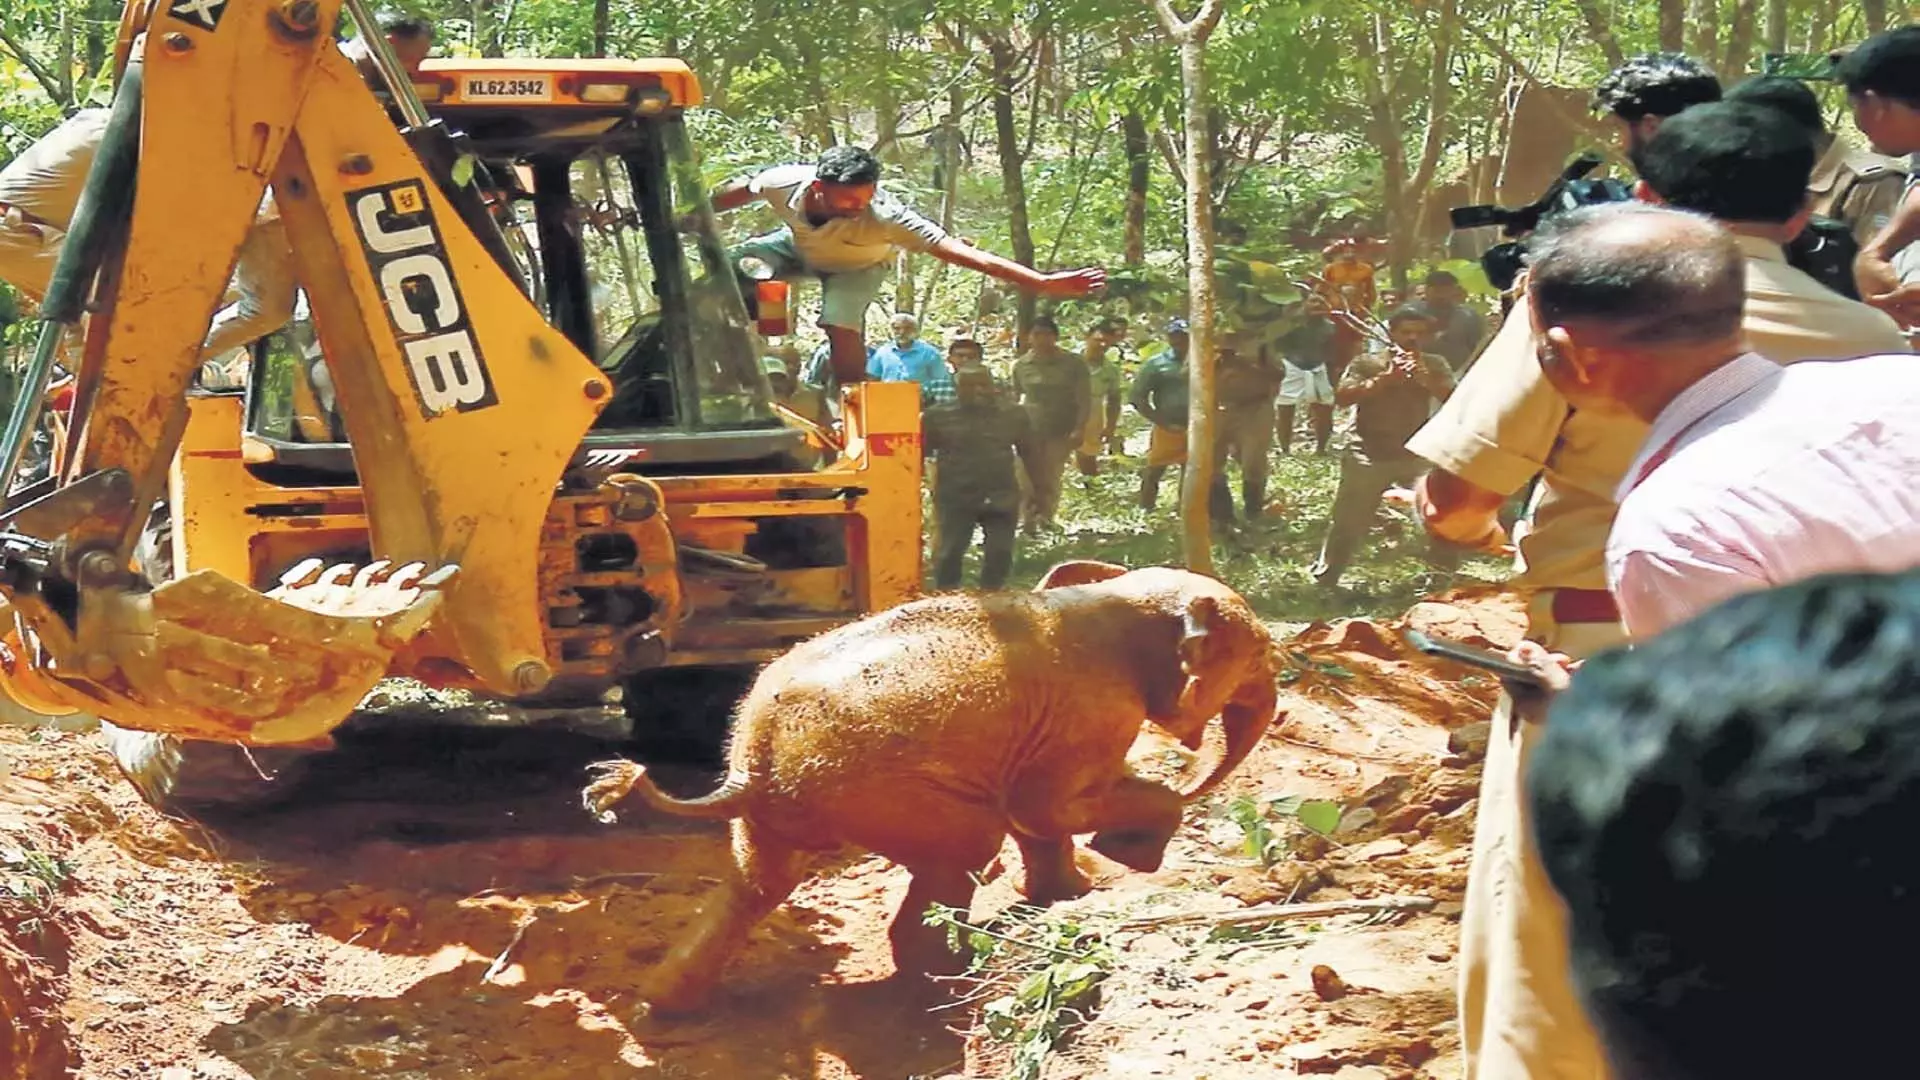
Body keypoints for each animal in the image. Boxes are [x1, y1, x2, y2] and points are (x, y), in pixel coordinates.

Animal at [579, 557, 1274, 1014]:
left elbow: (1037, 813)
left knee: (757, 884)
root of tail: (750, 766)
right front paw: (1123, 857)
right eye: (1265, 655)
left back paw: (660, 1008)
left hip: (783, 810)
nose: (1196, 768)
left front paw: (1072, 893)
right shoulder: (1094, 711)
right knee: (968, 842)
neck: (1113, 596)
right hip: (877, 792)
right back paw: (949, 973)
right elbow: (1041, 808)